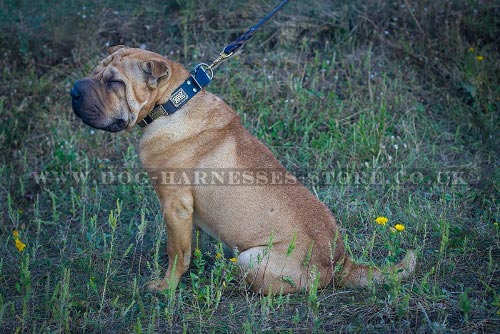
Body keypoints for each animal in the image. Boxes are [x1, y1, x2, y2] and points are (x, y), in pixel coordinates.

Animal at [70, 45, 414, 294]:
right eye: (95, 71)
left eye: (115, 82)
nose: (73, 89)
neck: (172, 104)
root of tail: (340, 261)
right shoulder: (186, 214)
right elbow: (188, 247)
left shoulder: (174, 204)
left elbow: (175, 253)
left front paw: (165, 286)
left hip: (251, 257)